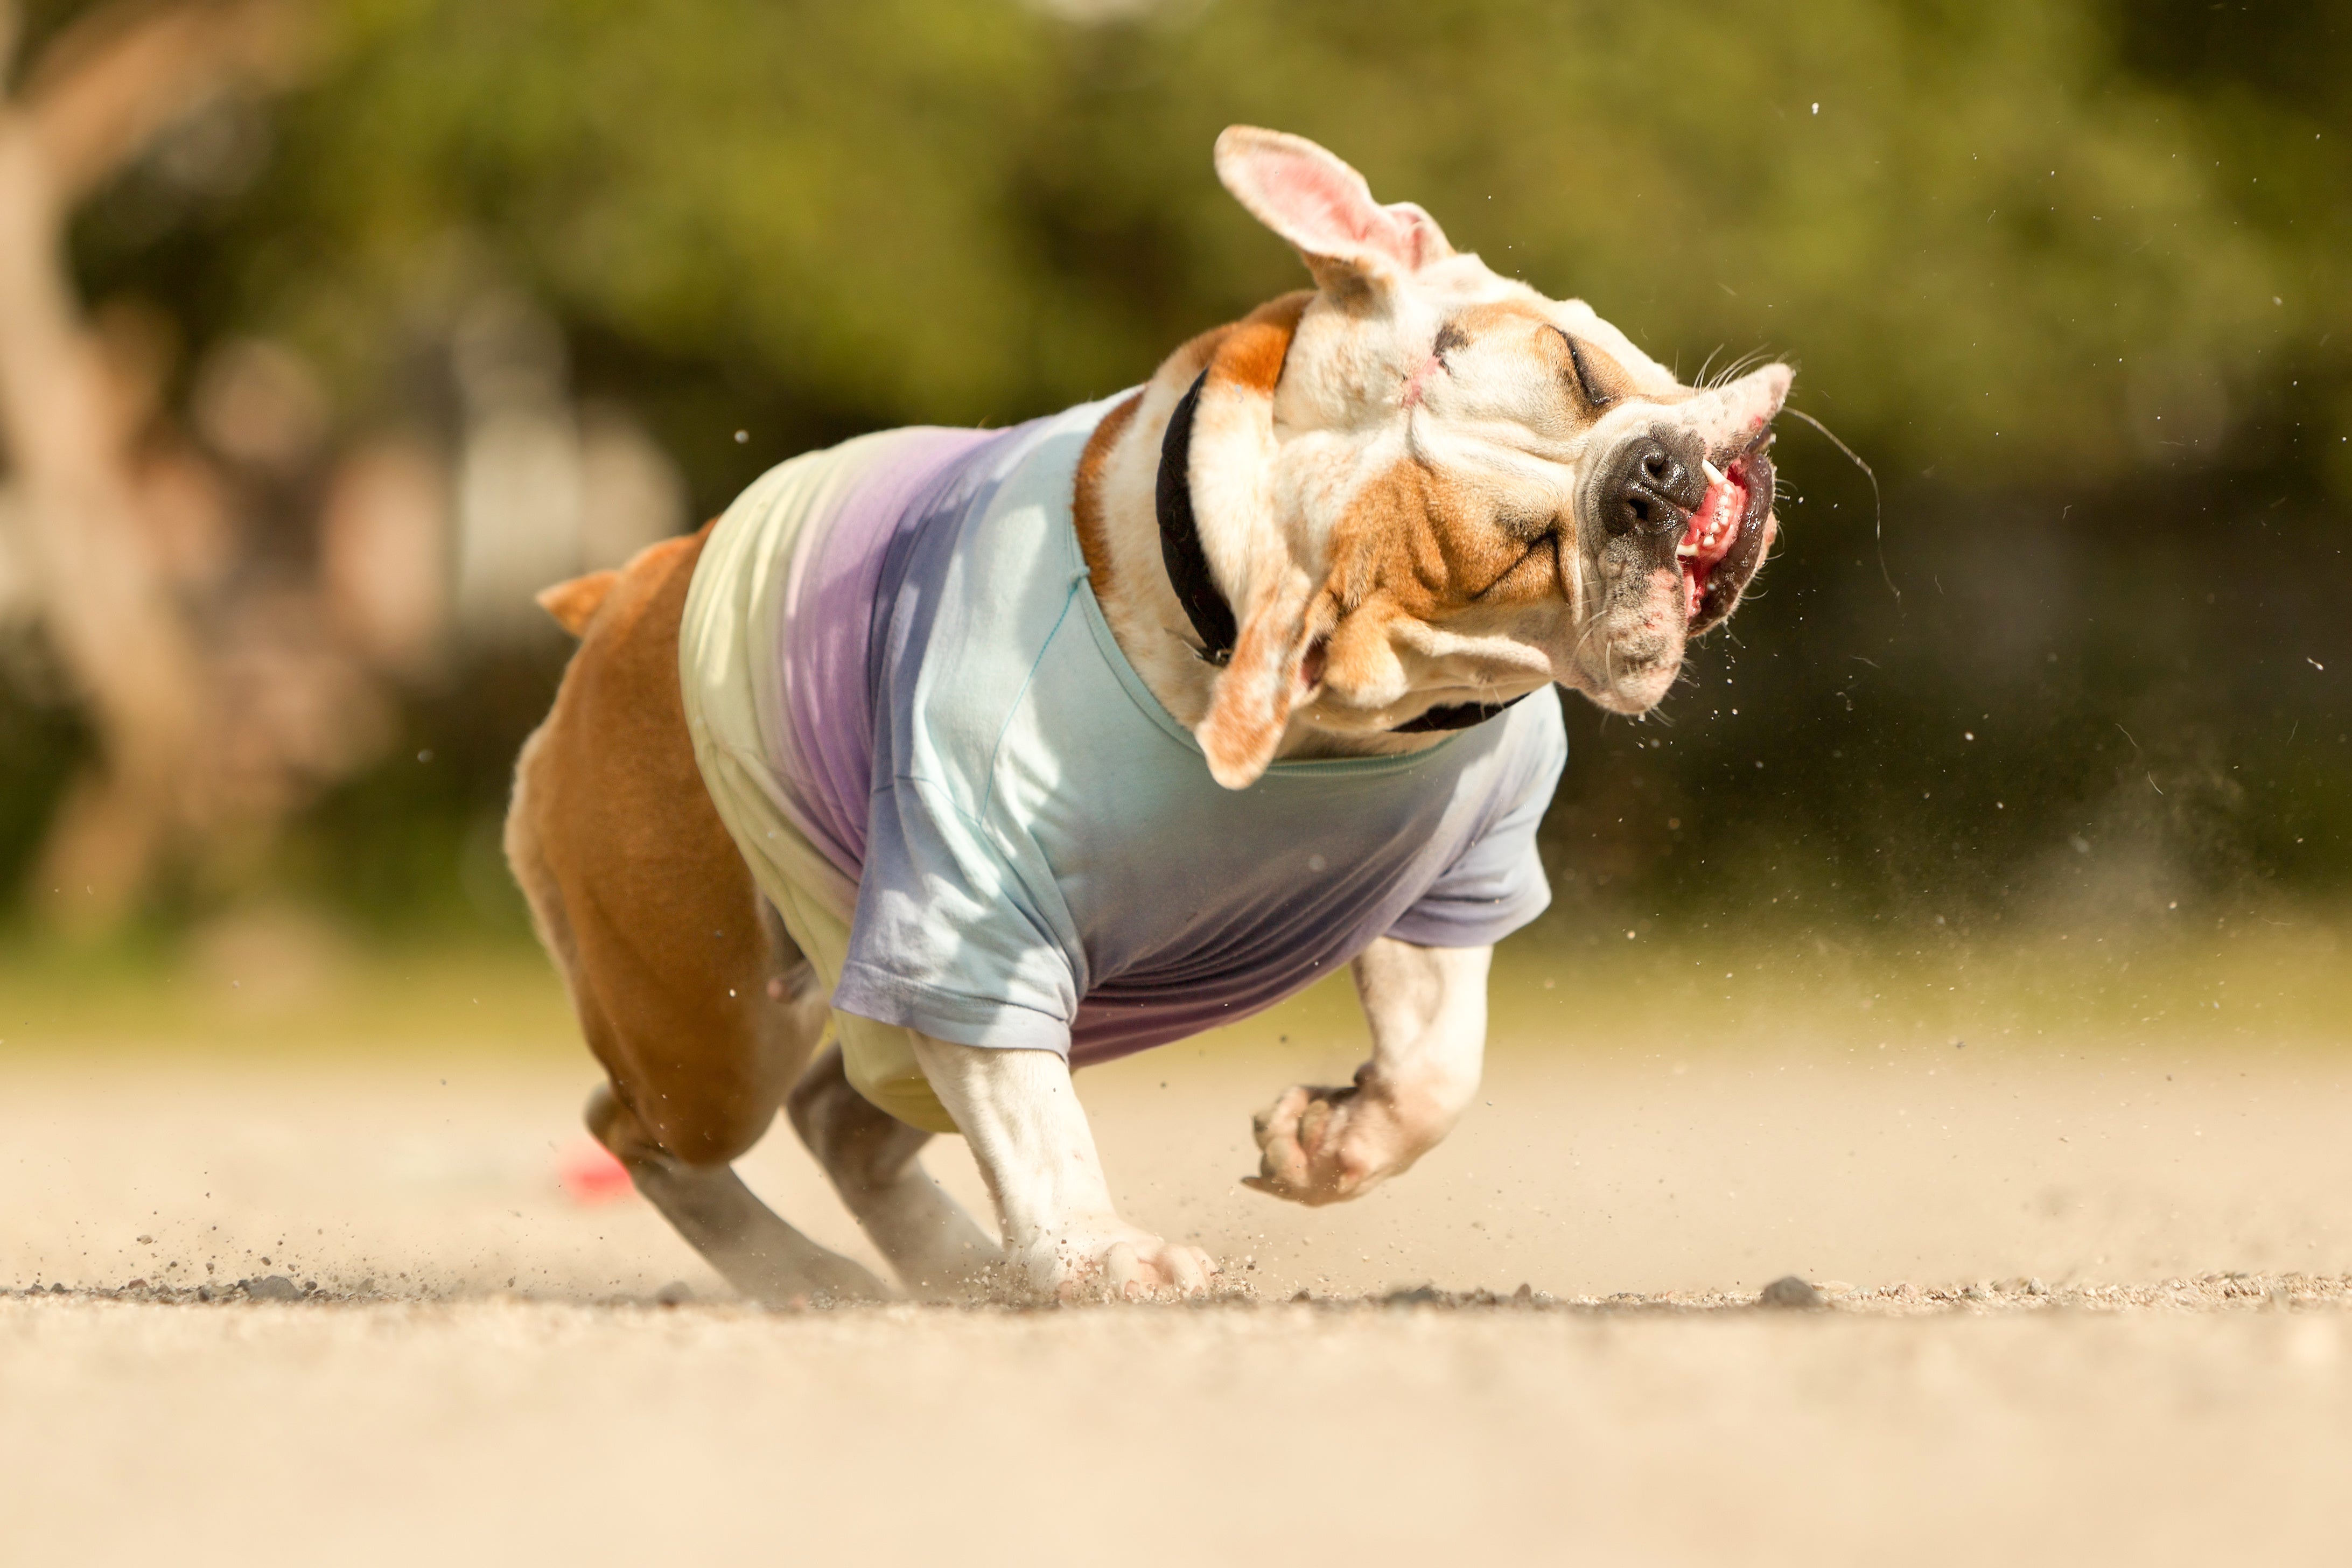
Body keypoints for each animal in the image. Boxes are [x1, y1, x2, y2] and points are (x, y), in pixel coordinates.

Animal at [506, 123, 1787, 1307]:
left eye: (1582, 369)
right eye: (1515, 555)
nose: (1655, 478)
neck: (1225, 555)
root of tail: (624, 593)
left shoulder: (1461, 870)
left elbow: (1435, 1066)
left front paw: (1327, 1142)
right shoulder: (972, 911)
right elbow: (1031, 1117)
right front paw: (1102, 1251)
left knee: (848, 1111)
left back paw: (951, 1265)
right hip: (712, 1027)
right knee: (655, 1133)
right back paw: (812, 1274)